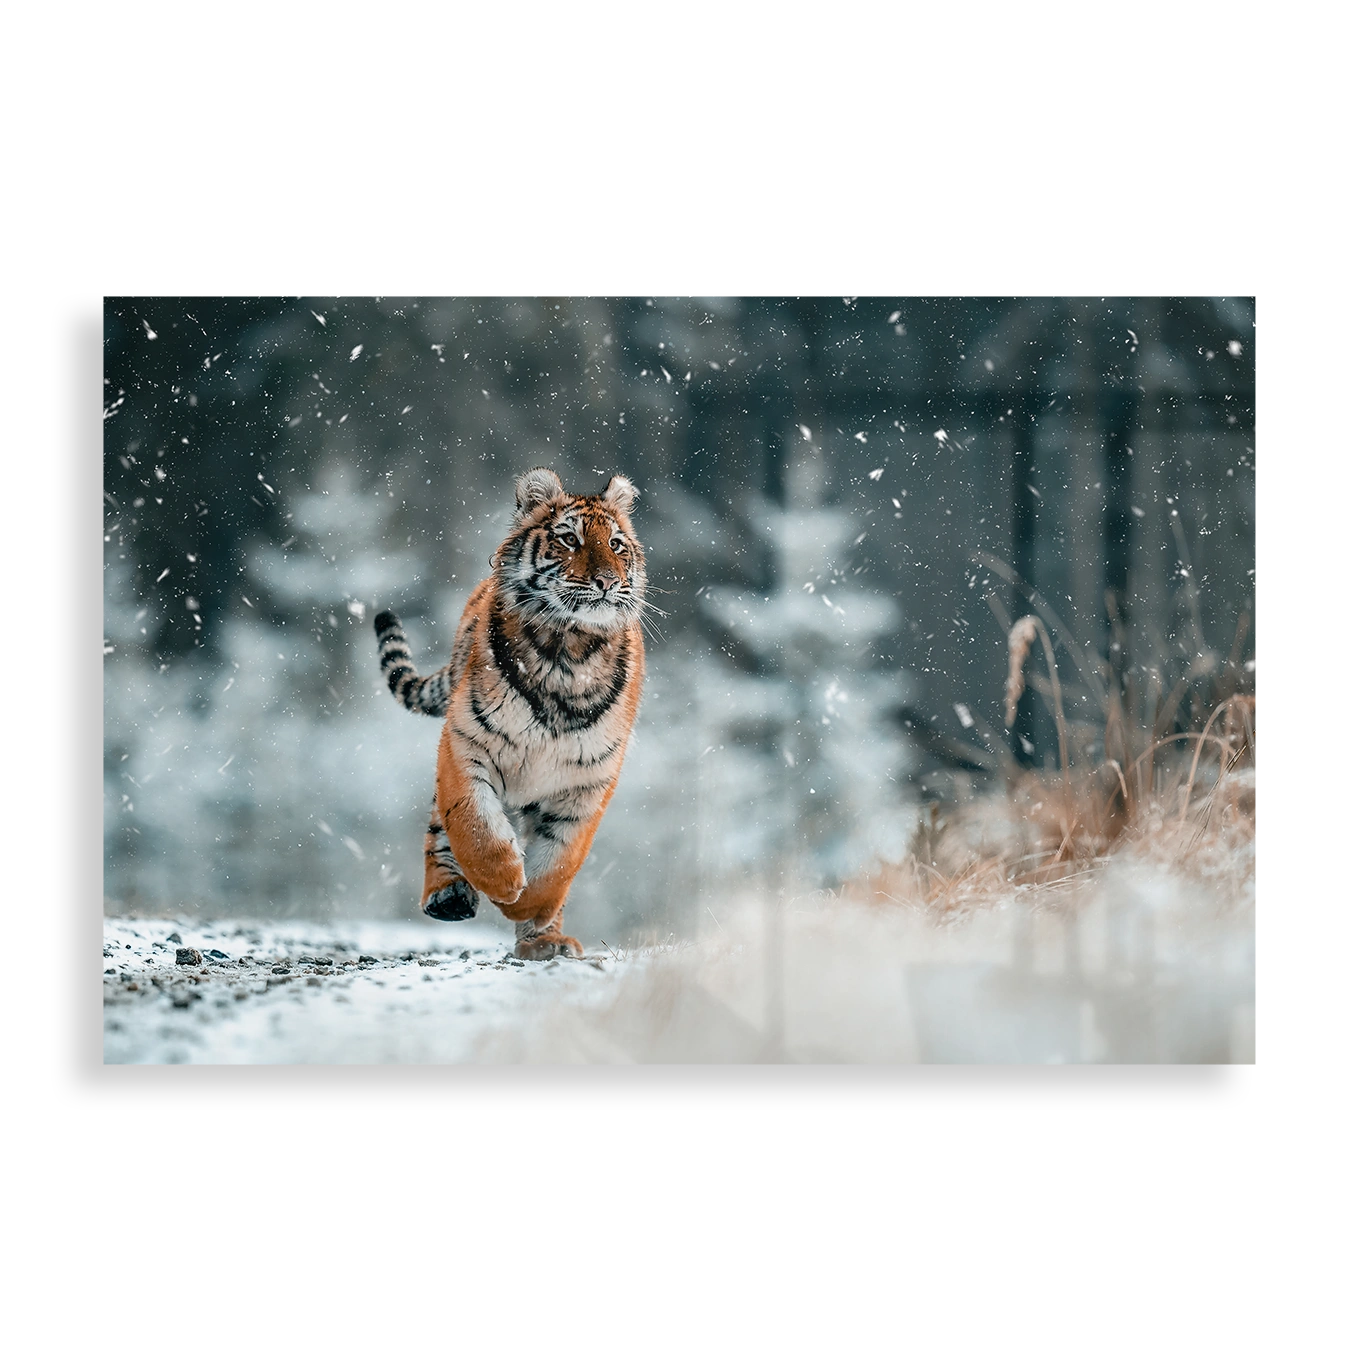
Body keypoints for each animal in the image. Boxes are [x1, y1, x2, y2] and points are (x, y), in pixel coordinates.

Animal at [373, 467, 646, 960]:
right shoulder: (466, 742)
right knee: (439, 827)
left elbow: (560, 861)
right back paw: (447, 896)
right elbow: (475, 826)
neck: (568, 651)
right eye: (570, 539)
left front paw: (528, 908)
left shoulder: (589, 781)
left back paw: (546, 942)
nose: (606, 582)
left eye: (616, 544)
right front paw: (503, 882)